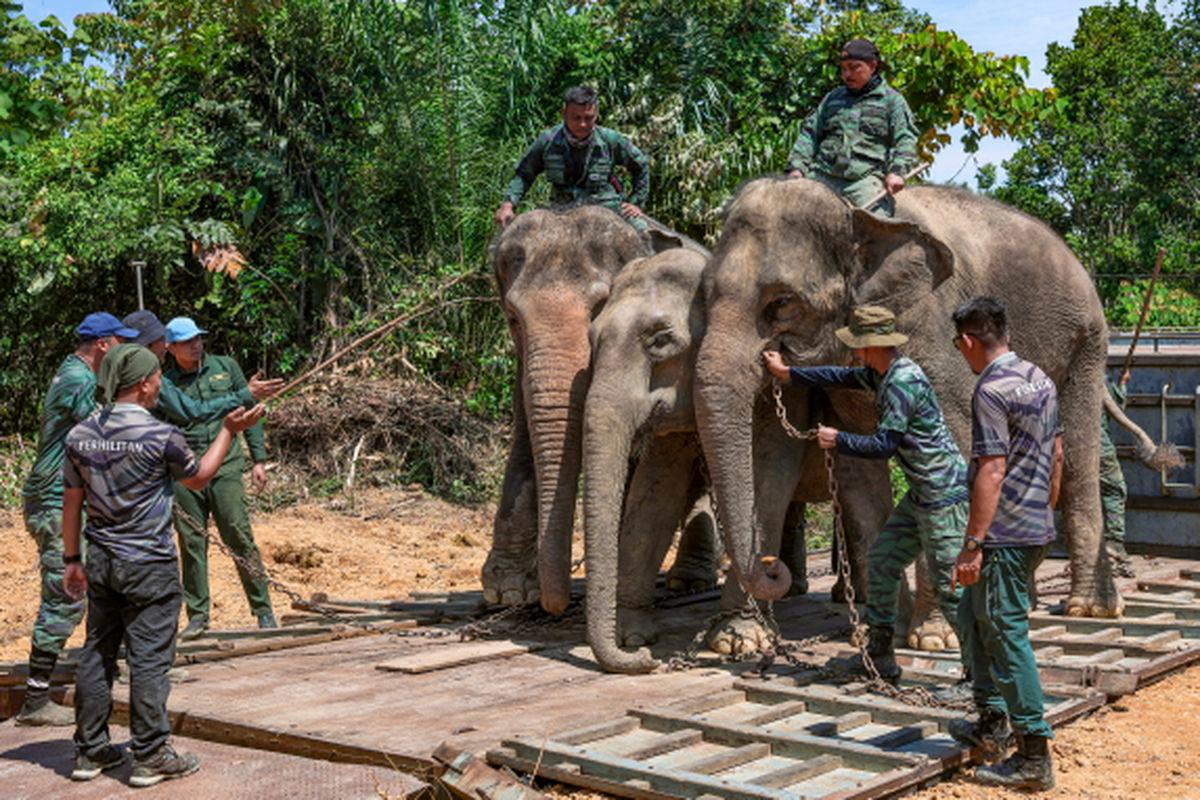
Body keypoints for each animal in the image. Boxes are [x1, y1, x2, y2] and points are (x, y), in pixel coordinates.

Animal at [583, 247, 892, 671]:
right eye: (591, 339)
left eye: (661, 340)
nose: (646, 661)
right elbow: (655, 492)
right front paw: (631, 636)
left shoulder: (784, 394)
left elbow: (769, 475)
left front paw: (737, 637)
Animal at [695, 176, 1129, 648]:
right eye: (704, 296)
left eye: (782, 303)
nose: (774, 567)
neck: (856, 215)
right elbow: (804, 465)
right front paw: (741, 639)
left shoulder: (934, 336)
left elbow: (956, 446)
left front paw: (937, 637)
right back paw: (1023, 600)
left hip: (1086, 344)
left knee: (1079, 460)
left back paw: (1089, 608)